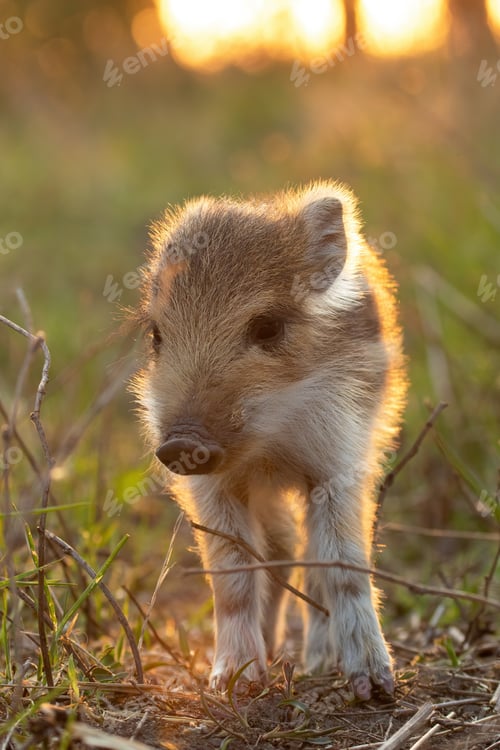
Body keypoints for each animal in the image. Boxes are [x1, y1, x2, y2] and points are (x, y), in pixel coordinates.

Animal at [131, 181, 408, 700]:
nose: (182, 442)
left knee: (308, 560)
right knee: (281, 551)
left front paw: (375, 685)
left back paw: (321, 663)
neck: (269, 442)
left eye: (267, 327)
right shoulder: (212, 486)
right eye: (156, 335)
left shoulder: (337, 463)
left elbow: (342, 565)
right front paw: (235, 681)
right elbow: (233, 577)